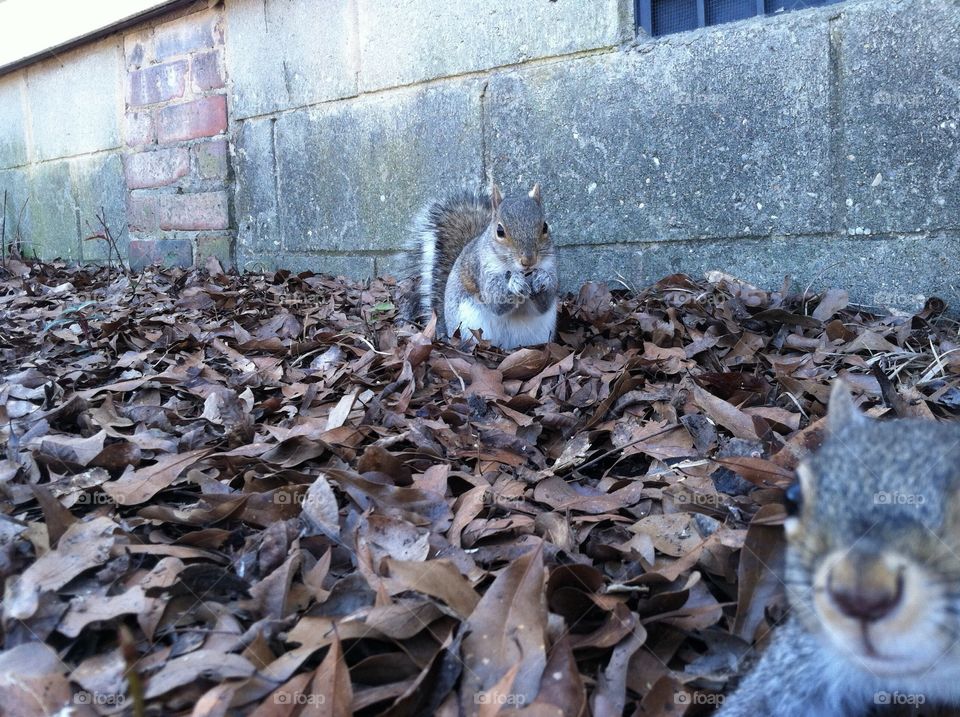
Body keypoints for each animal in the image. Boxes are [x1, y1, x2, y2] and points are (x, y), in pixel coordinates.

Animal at [400, 180, 564, 346]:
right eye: (500, 231)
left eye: (545, 226)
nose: (528, 260)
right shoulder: (482, 269)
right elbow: (495, 299)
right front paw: (514, 282)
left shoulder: (551, 266)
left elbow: (545, 303)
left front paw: (543, 278)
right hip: (467, 325)